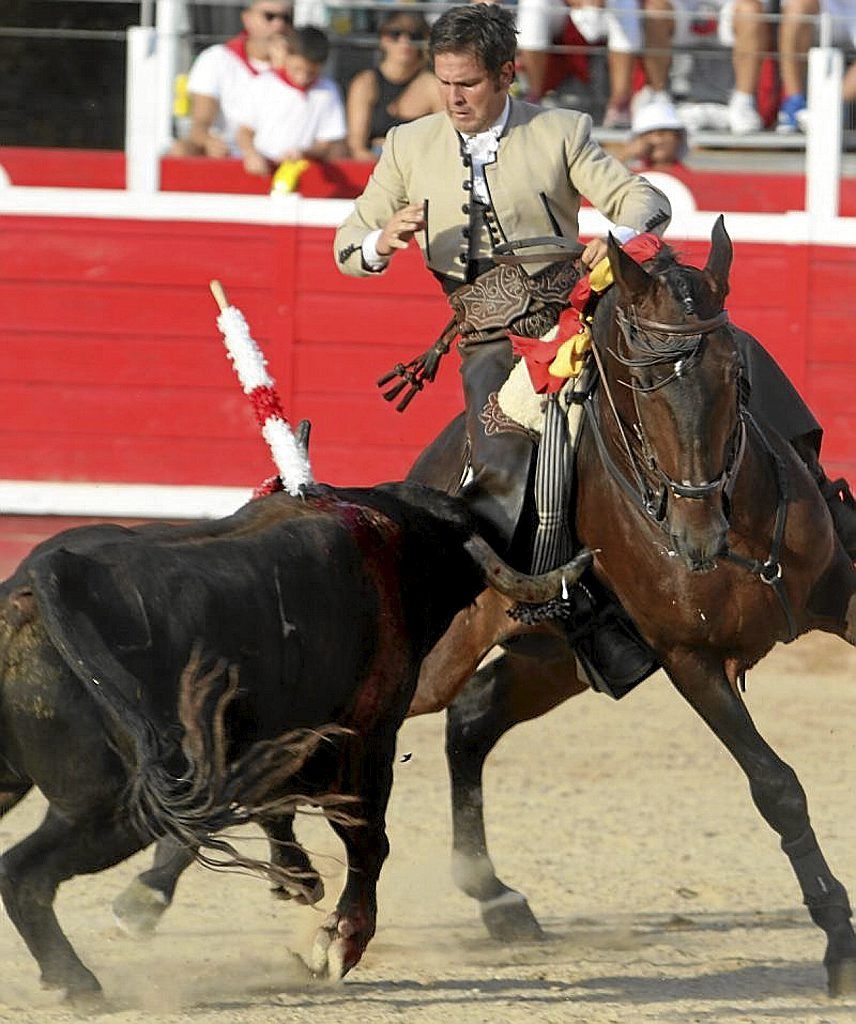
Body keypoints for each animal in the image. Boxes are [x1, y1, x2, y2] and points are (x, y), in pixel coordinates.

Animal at [0, 479, 589, 999]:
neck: (389, 533)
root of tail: (41, 580)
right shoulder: (367, 738)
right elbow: (367, 841)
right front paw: (339, 944)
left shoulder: (280, 742)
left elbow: (277, 810)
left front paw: (297, 880)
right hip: (111, 805)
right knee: (23, 872)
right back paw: (76, 981)